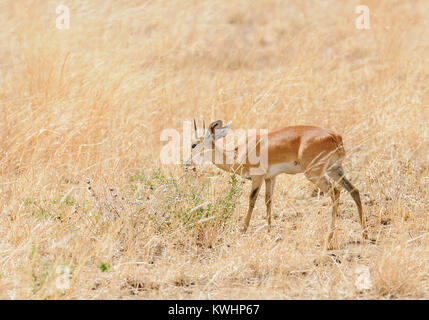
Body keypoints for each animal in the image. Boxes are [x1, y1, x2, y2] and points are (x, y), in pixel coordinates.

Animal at [186, 120, 368, 248]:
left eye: (193, 144)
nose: (187, 163)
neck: (240, 153)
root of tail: (334, 136)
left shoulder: (258, 177)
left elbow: (252, 199)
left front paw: (243, 229)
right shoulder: (270, 178)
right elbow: (268, 201)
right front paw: (269, 230)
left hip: (315, 174)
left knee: (335, 192)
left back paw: (329, 238)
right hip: (334, 169)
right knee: (354, 190)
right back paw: (364, 234)